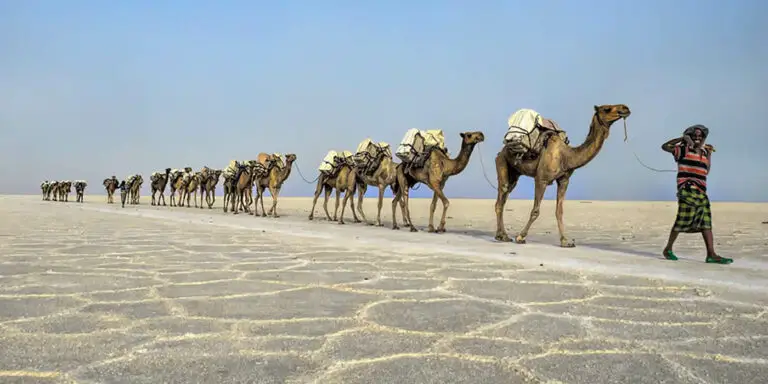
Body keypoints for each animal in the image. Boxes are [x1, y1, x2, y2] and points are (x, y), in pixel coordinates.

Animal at [496, 103, 632, 248]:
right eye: (606, 109)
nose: (625, 108)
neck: (566, 156)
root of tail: (503, 149)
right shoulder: (541, 179)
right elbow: (535, 211)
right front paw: (521, 237)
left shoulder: (564, 180)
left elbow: (559, 211)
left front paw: (565, 241)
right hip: (501, 161)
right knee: (501, 196)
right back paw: (502, 236)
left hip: (515, 173)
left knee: (505, 197)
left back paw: (501, 235)